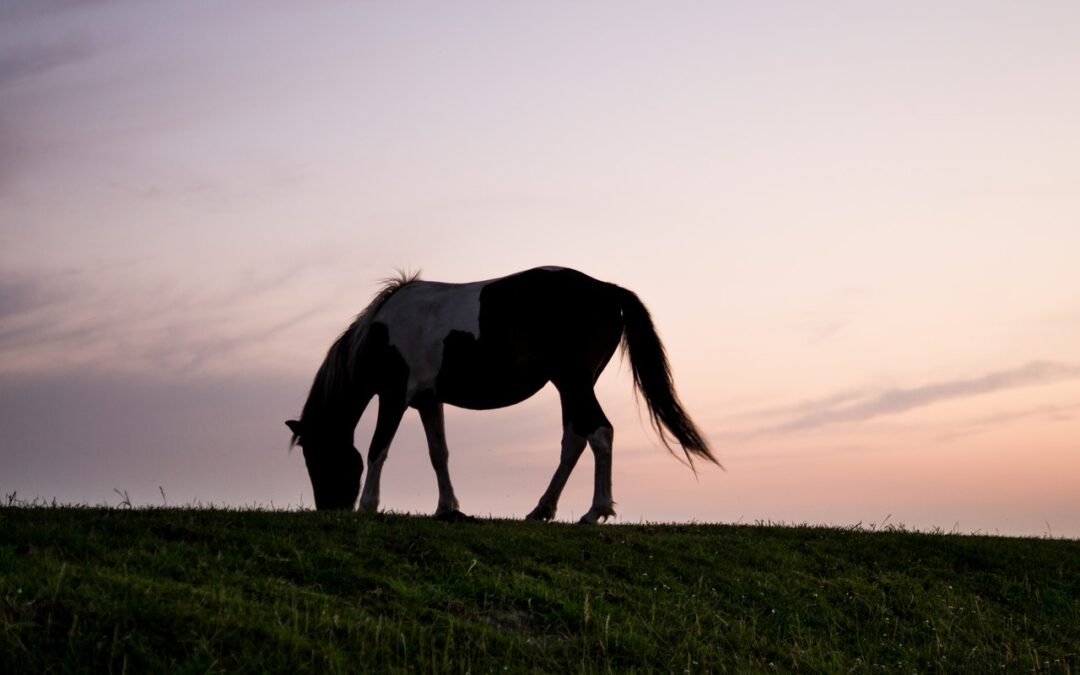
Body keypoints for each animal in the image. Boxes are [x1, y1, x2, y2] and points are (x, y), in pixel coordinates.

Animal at [285, 265, 717, 524]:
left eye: (316, 457)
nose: (330, 508)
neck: (380, 332)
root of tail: (607, 290)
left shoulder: (394, 396)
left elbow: (378, 448)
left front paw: (368, 506)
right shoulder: (427, 400)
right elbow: (438, 453)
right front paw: (448, 509)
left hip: (574, 382)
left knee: (599, 433)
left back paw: (595, 511)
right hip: (570, 386)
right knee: (575, 439)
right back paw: (542, 509)